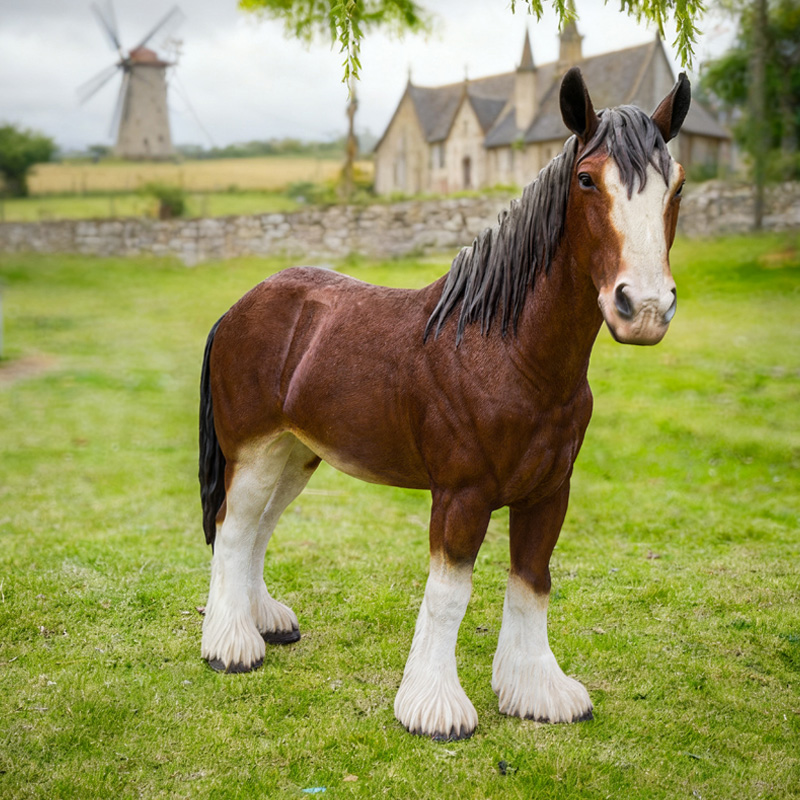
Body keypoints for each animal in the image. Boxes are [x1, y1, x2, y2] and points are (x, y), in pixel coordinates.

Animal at [197, 66, 691, 741]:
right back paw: (230, 646)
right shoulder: (462, 495)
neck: (508, 353)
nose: (642, 308)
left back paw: (265, 621)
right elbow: (449, 593)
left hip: (297, 455)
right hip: (254, 449)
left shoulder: (548, 492)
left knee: (257, 530)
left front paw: (538, 692)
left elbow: (533, 580)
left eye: (678, 184)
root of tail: (239, 308)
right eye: (588, 179)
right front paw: (433, 708)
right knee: (234, 526)